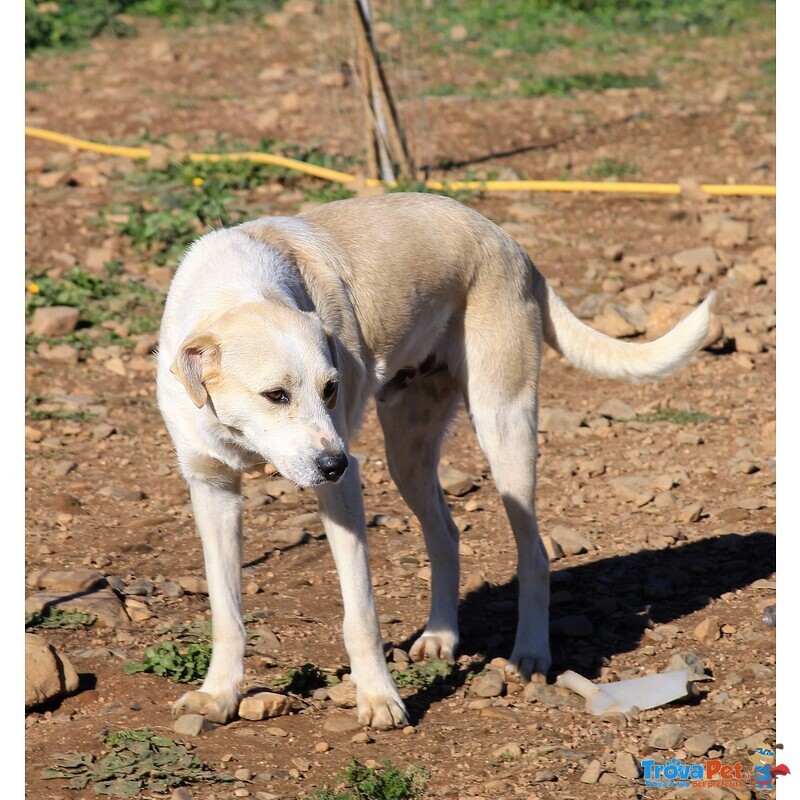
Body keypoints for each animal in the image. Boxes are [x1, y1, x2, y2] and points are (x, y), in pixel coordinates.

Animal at [158, 191, 712, 728]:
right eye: (275, 395)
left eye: (330, 389)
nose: (335, 464)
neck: (239, 290)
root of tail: (510, 244)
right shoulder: (213, 490)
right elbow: (226, 613)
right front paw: (218, 695)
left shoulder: (341, 494)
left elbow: (361, 615)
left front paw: (378, 699)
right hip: (408, 452)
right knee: (445, 535)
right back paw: (442, 635)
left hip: (503, 428)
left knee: (534, 552)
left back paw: (531, 652)